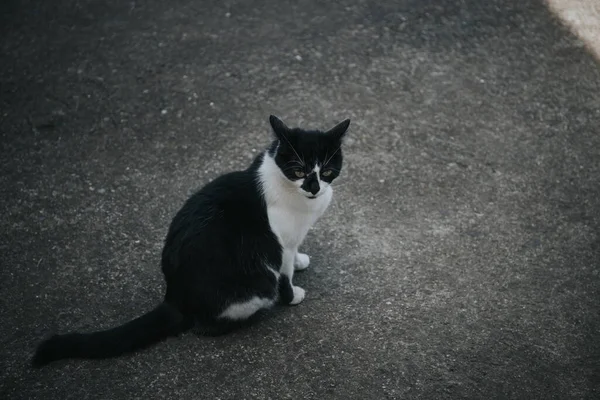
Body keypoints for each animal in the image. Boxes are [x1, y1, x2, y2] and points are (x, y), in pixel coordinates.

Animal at [31, 115, 352, 366]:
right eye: (298, 171)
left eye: (326, 171)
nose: (314, 188)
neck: (299, 199)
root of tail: (174, 296)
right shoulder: (279, 244)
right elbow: (284, 274)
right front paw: (292, 294)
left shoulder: (294, 236)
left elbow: (295, 254)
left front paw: (301, 261)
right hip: (253, 285)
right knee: (210, 323)